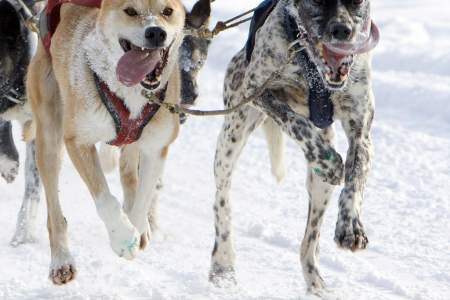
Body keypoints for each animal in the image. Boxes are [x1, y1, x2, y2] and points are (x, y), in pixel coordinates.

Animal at [25, 0, 207, 286]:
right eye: (130, 11)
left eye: (167, 11)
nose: (156, 33)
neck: (131, 91)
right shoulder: (78, 141)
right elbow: (105, 199)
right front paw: (122, 237)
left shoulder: (156, 147)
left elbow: (144, 196)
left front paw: (136, 227)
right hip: (50, 136)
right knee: (54, 210)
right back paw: (61, 260)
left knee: (128, 173)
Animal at [209, 0, 378, 296]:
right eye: (318, 2)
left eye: (356, 3)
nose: (342, 30)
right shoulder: (259, 91)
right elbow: (295, 122)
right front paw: (328, 161)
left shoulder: (361, 130)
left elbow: (354, 179)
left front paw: (351, 227)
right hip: (231, 138)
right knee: (222, 202)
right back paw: (223, 265)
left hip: (319, 190)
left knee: (309, 242)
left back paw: (315, 283)